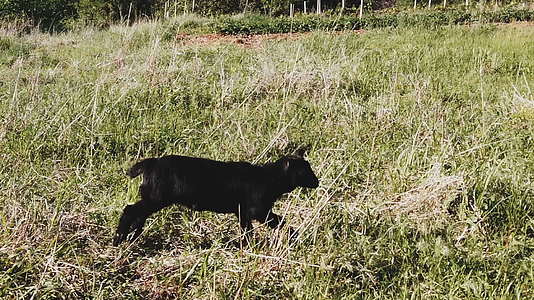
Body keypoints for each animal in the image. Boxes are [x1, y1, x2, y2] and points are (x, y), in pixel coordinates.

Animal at [112, 151, 318, 245]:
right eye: (304, 170)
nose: (317, 182)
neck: (269, 178)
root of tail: (151, 163)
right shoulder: (258, 210)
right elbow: (281, 221)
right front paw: (295, 236)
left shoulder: (242, 212)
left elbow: (247, 230)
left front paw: (246, 246)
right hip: (156, 198)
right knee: (130, 210)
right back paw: (119, 239)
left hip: (152, 199)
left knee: (138, 215)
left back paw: (131, 238)